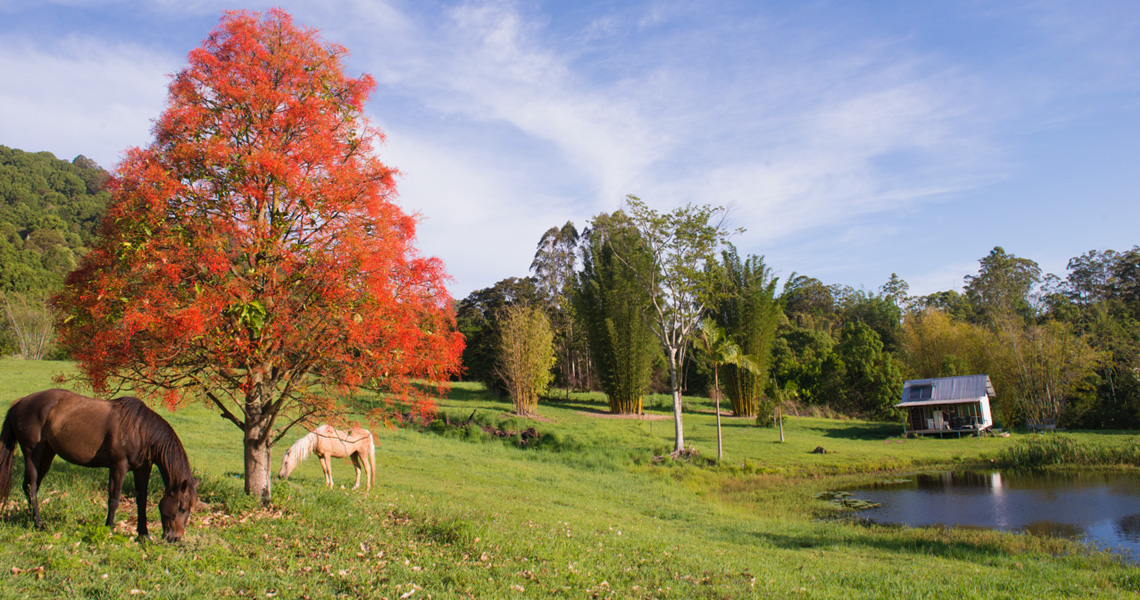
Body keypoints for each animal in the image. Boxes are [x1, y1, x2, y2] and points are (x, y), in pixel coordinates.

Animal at [0, 392, 198, 542]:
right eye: (181, 507)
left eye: (189, 508)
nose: (175, 538)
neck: (141, 430)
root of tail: (20, 403)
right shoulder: (118, 466)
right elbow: (114, 499)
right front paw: (109, 529)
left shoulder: (143, 469)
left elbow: (141, 500)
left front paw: (144, 535)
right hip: (32, 453)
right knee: (31, 485)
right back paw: (39, 524)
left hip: (47, 454)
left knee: (30, 486)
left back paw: (32, 519)